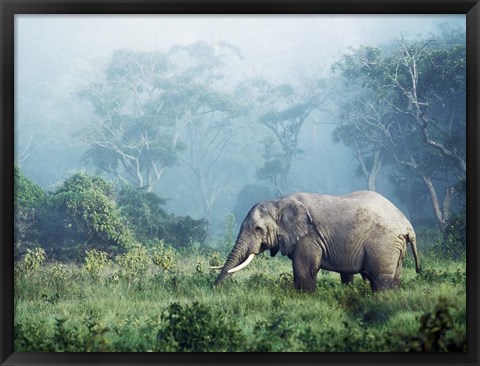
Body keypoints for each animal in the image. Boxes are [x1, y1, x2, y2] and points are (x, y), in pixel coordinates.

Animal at [214, 192, 420, 292]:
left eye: (258, 229)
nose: (214, 288)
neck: (279, 201)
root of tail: (407, 225)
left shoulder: (308, 237)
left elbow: (304, 271)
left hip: (383, 244)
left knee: (379, 279)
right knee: (394, 278)